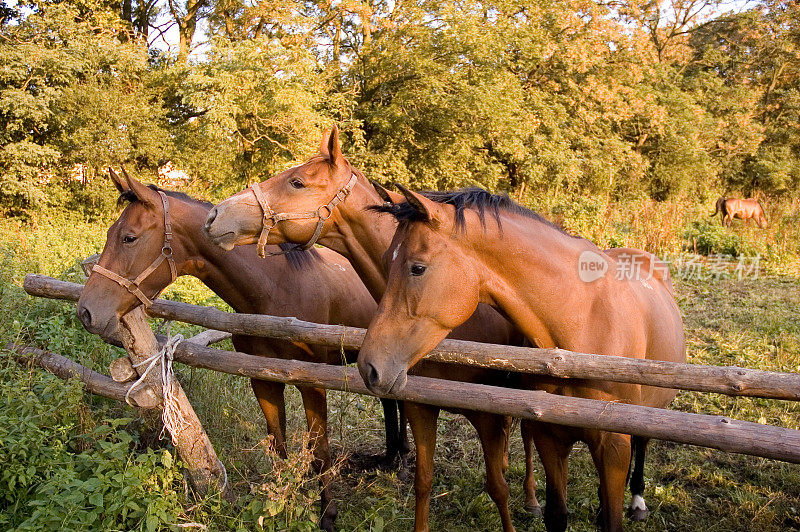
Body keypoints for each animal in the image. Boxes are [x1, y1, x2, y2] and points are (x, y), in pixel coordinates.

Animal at [75, 168, 406, 528]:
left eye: (129, 238)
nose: (86, 312)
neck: (277, 290)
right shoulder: (262, 381)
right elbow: (278, 446)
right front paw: (282, 505)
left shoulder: (312, 383)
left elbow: (319, 452)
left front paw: (327, 515)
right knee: (391, 401)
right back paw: (391, 456)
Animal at [203, 127, 536, 528]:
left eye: (297, 182)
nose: (215, 215)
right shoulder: (419, 404)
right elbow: (424, 480)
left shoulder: (488, 412)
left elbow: (498, 487)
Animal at [356, 184, 688, 532]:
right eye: (385, 261)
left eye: (417, 267)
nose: (369, 366)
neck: (582, 326)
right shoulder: (549, 438)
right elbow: (557, 515)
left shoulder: (613, 445)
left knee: (642, 444)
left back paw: (637, 500)